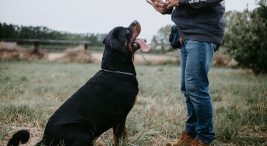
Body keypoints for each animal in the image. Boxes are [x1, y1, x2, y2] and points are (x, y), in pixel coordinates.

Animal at [7, 20, 151, 146]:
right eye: (127, 30)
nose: (135, 20)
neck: (116, 70)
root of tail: (46, 139)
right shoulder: (119, 116)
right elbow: (119, 138)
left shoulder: (122, 118)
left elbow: (124, 135)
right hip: (84, 132)